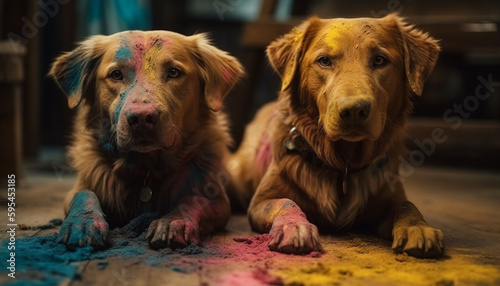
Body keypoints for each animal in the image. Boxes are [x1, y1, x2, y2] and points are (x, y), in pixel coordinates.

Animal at [50, 30, 244, 249]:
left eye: (174, 72)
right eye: (116, 74)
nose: (142, 118)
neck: (145, 168)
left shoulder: (218, 200)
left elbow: (192, 200)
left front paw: (174, 222)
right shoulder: (80, 187)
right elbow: (84, 195)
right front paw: (82, 223)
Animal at [229, 13, 444, 258]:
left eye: (380, 60)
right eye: (324, 60)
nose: (354, 110)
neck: (343, 165)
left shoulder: (388, 196)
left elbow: (406, 205)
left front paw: (418, 228)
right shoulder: (260, 201)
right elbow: (287, 202)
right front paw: (294, 228)